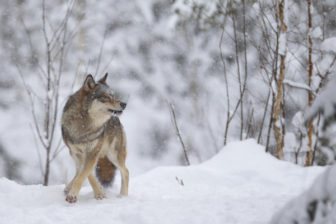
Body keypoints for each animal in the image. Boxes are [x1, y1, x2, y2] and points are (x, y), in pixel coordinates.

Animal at [60, 73, 129, 203]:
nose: (124, 104)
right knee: (78, 170)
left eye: (113, 96)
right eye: (106, 97)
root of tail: (117, 120)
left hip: (114, 155)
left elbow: (83, 174)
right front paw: (99, 192)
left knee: (126, 171)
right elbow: (85, 173)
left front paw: (73, 195)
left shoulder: (92, 152)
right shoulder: (76, 152)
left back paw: (123, 196)